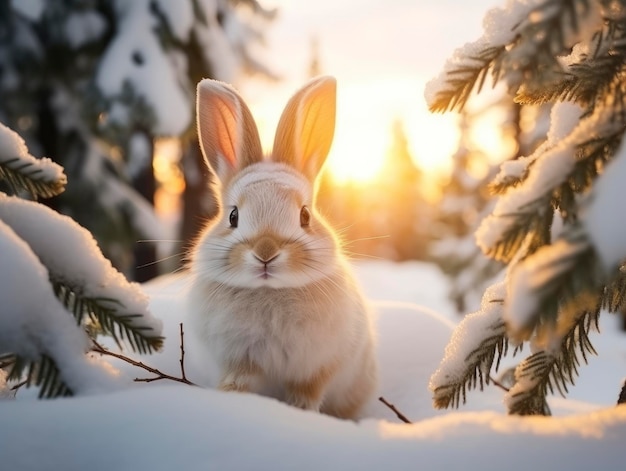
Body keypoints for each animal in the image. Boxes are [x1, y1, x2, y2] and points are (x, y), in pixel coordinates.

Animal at [186, 76, 376, 420]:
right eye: (233, 216)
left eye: (305, 216)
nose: (265, 252)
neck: (270, 292)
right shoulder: (239, 362)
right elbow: (238, 384)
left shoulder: (314, 369)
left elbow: (306, 393)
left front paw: (300, 413)